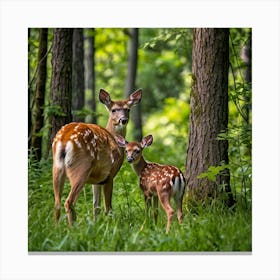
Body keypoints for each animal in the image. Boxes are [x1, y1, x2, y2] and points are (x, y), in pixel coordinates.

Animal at [52, 88, 141, 224]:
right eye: (113, 110)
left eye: (128, 109)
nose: (123, 120)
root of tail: (64, 140)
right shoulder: (109, 175)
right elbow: (108, 207)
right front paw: (110, 224)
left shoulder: (97, 179)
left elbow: (96, 206)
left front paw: (96, 224)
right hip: (81, 167)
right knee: (68, 202)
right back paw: (73, 227)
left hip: (57, 167)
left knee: (56, 203)